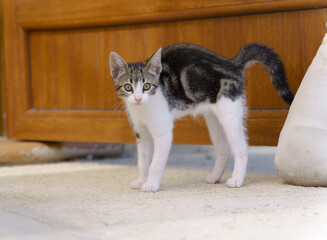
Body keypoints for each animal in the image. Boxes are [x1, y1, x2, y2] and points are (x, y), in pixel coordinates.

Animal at [109, 43, 294, 192]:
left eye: (146, 86)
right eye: (128, 87)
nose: (138, 98)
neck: (144, 108)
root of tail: (232, 63)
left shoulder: (163, 134)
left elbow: (155, 163)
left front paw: (151, 184)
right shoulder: (141, 134)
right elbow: (143, 160)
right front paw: (141, 180)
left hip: (229, 111)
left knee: (241, 147)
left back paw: (237, 180)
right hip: (213, 117)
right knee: (223, 148)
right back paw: (215, 177)